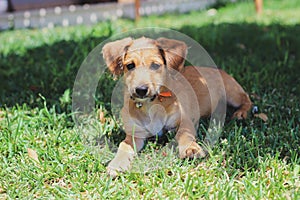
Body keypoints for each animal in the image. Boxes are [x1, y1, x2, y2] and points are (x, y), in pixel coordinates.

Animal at [102, 36, 252, 177]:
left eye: (155, 65)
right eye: (130, 66)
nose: (141, 90)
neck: (152, 104)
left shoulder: (184, 120)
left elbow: (184, 134)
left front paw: (190, 148)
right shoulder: (135, 135)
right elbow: (124, 146)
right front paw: (117, 164)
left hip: (232, 92)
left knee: (247, 100)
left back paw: (240, 113)